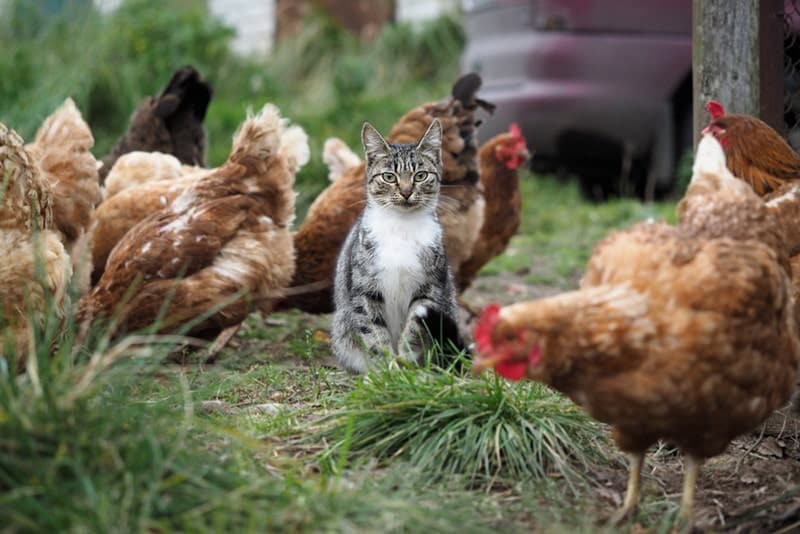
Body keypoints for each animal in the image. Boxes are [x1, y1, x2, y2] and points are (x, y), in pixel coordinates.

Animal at [330, 119, 466, 374]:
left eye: (420, 175)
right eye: (389, 177)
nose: (406, 192)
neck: (401, 228)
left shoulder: (430, 288)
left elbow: (414, 326)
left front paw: (405, 361)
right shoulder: (365, 290)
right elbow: (375, 333)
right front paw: (387, 369)